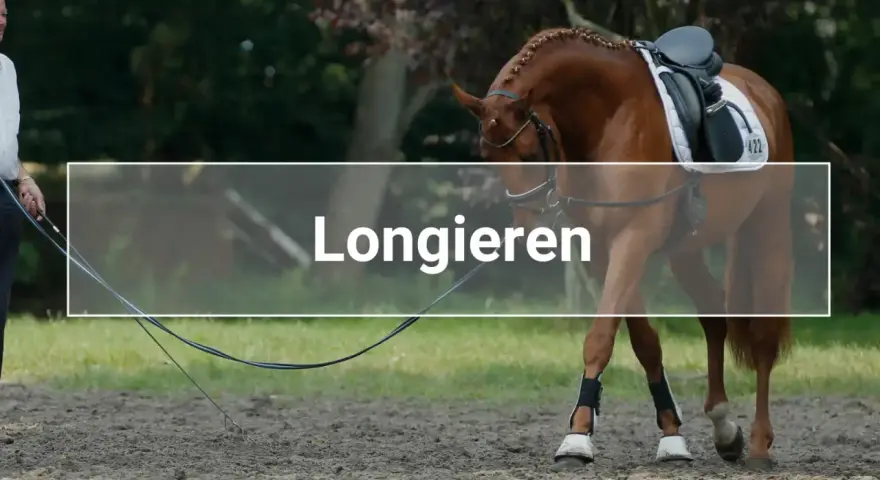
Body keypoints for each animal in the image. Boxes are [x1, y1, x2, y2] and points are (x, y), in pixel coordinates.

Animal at [450, 26, 794, 471]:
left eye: (527, 154)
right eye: (488, 156)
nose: (526, 226)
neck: (608, 118)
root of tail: (763, 90)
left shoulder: (632, 239)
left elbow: (600, 338)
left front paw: (577, 438)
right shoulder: (601, 249)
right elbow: (644, 342)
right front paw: (671, 437)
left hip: (768, 223)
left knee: (764, 337)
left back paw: (758, 445)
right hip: (686, 249)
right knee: (713, 314)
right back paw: (723, 427)